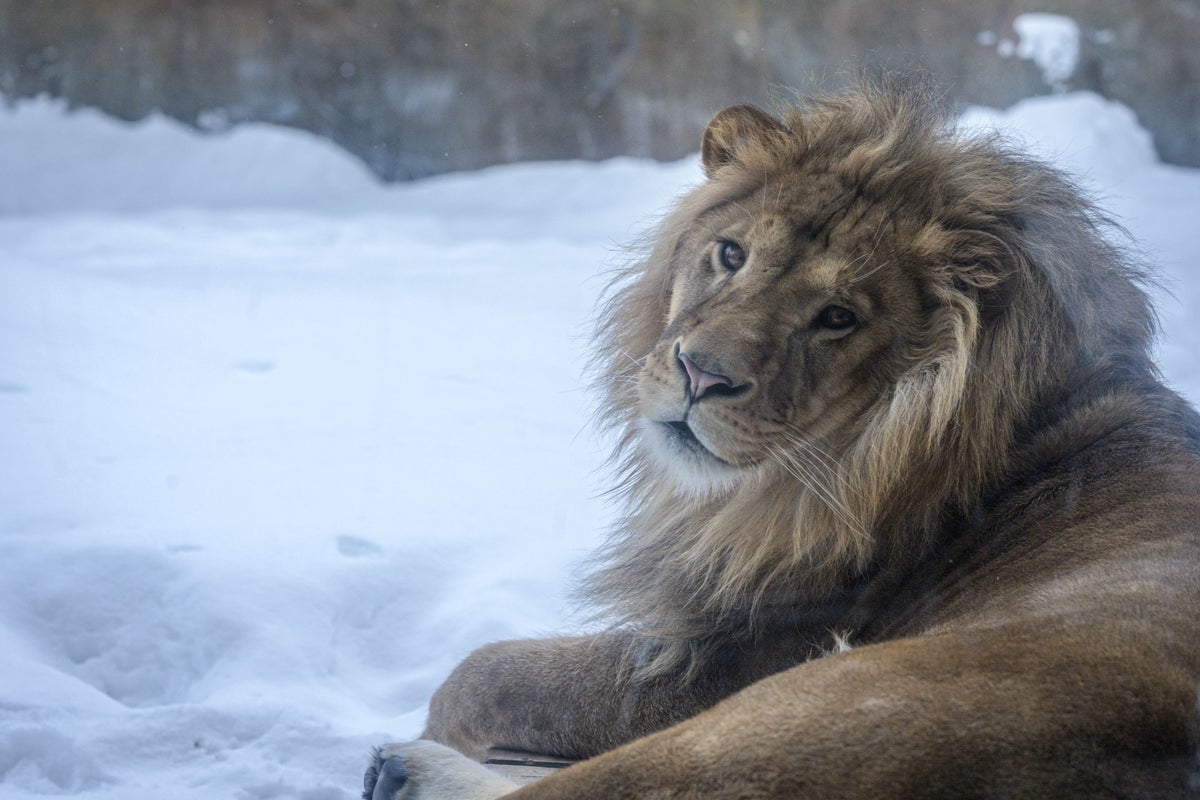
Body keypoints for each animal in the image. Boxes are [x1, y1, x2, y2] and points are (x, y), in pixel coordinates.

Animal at [363, 79, 1200, 799]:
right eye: (731, 254)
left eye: (838, 317)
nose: (701, 375)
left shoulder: (719, 660)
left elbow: (480, 673)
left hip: (827, 704)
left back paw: (406, 770)